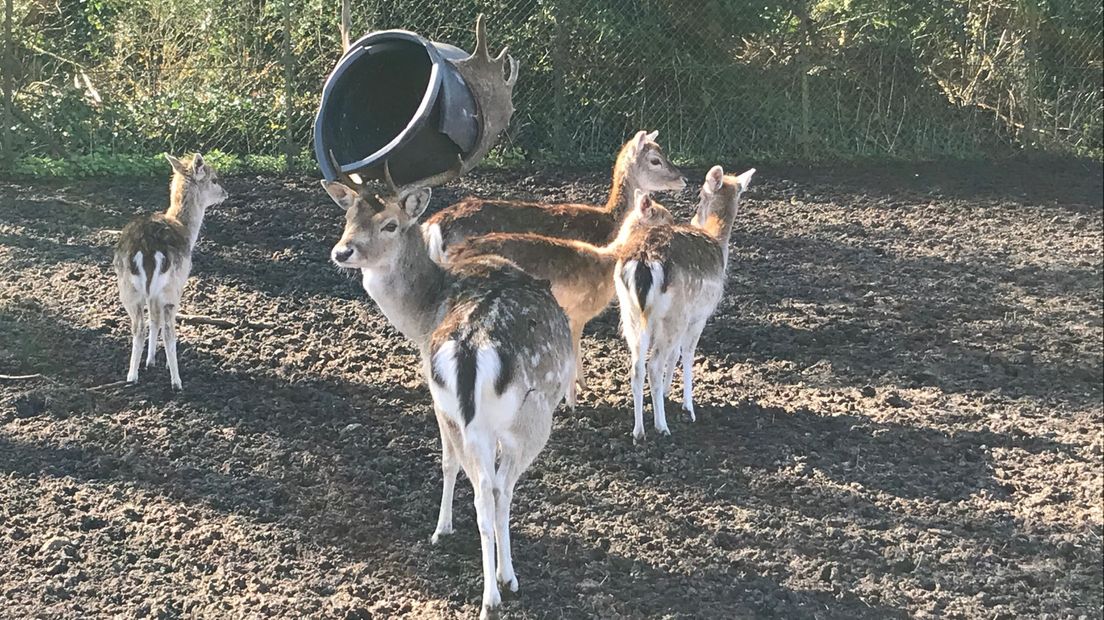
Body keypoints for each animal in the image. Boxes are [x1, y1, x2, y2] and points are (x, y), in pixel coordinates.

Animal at [113, 153, 227, 386]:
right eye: (214, 179)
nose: (225, 193)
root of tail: (146, 249)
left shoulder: (151, 293)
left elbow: (153, 319)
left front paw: (150, 362)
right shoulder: (176, 285)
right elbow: (160, 323)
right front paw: (160, 364)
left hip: (128, 289)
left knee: (138, 326)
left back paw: (132, 376)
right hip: (170, 288)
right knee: (168, 330)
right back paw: (176, 381)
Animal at [317, 16, 560, 613]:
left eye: (388, 224)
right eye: (348, 217)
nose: (342, 252)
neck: (424, 311)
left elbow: (448, 461)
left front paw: (440, 529)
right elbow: (476, 475)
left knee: (486, 484)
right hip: (525, 416)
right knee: (497, 487)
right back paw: (500, 586)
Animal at [446, 190, 671, 408]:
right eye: (664, 218)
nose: (674, 229)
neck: (606, 268)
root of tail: (452, 255)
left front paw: (583, 386)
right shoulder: (578, 314)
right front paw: (571, 403)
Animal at [618, 164, 755, 439]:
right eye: (701, 194)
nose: (693, 219)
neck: (718, 241)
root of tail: (643, 260)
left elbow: (675, 354)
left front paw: (667, 392)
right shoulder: (699, 315)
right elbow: (688, 354)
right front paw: (688, 407)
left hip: (631, 314)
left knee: (637, 366)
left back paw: (638, 431)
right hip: (674, 314)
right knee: (653, 364)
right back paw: (661, 426)